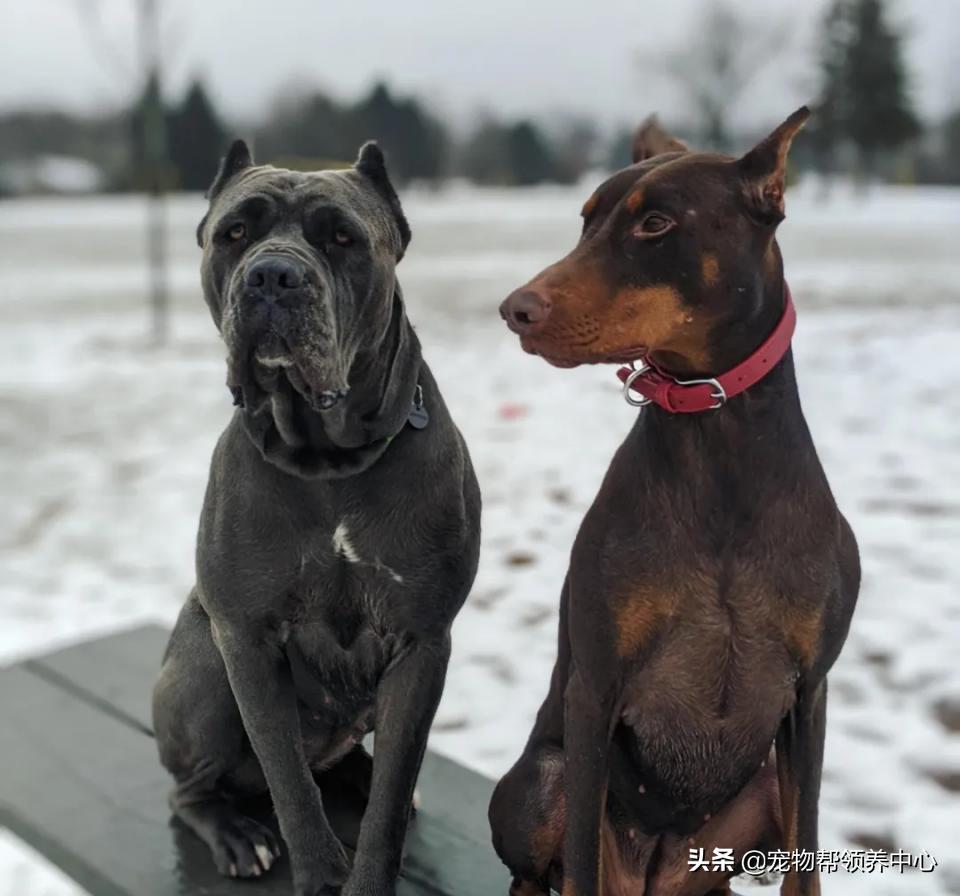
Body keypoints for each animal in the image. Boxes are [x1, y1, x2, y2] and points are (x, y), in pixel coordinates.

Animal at [155, 140, 484, 896]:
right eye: (233, 234)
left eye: (342, 239)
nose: (273, 275)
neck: (327, 459)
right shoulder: (244, 641)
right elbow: (292, 787)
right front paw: (315, 872)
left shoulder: (421, 644)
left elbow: (389, 798)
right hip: (203, 669)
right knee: (191, 792)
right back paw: (237, 833)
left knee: (369, 770)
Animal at [492, 107, 860, 896]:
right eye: (585, 221)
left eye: (656, 223)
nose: (515, 309)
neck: (716, 440)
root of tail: (658, 874)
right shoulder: (595, 691)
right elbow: (579, 866)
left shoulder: (810, 693)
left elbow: (807, 861)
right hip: (547, 777)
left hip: (754, 798)